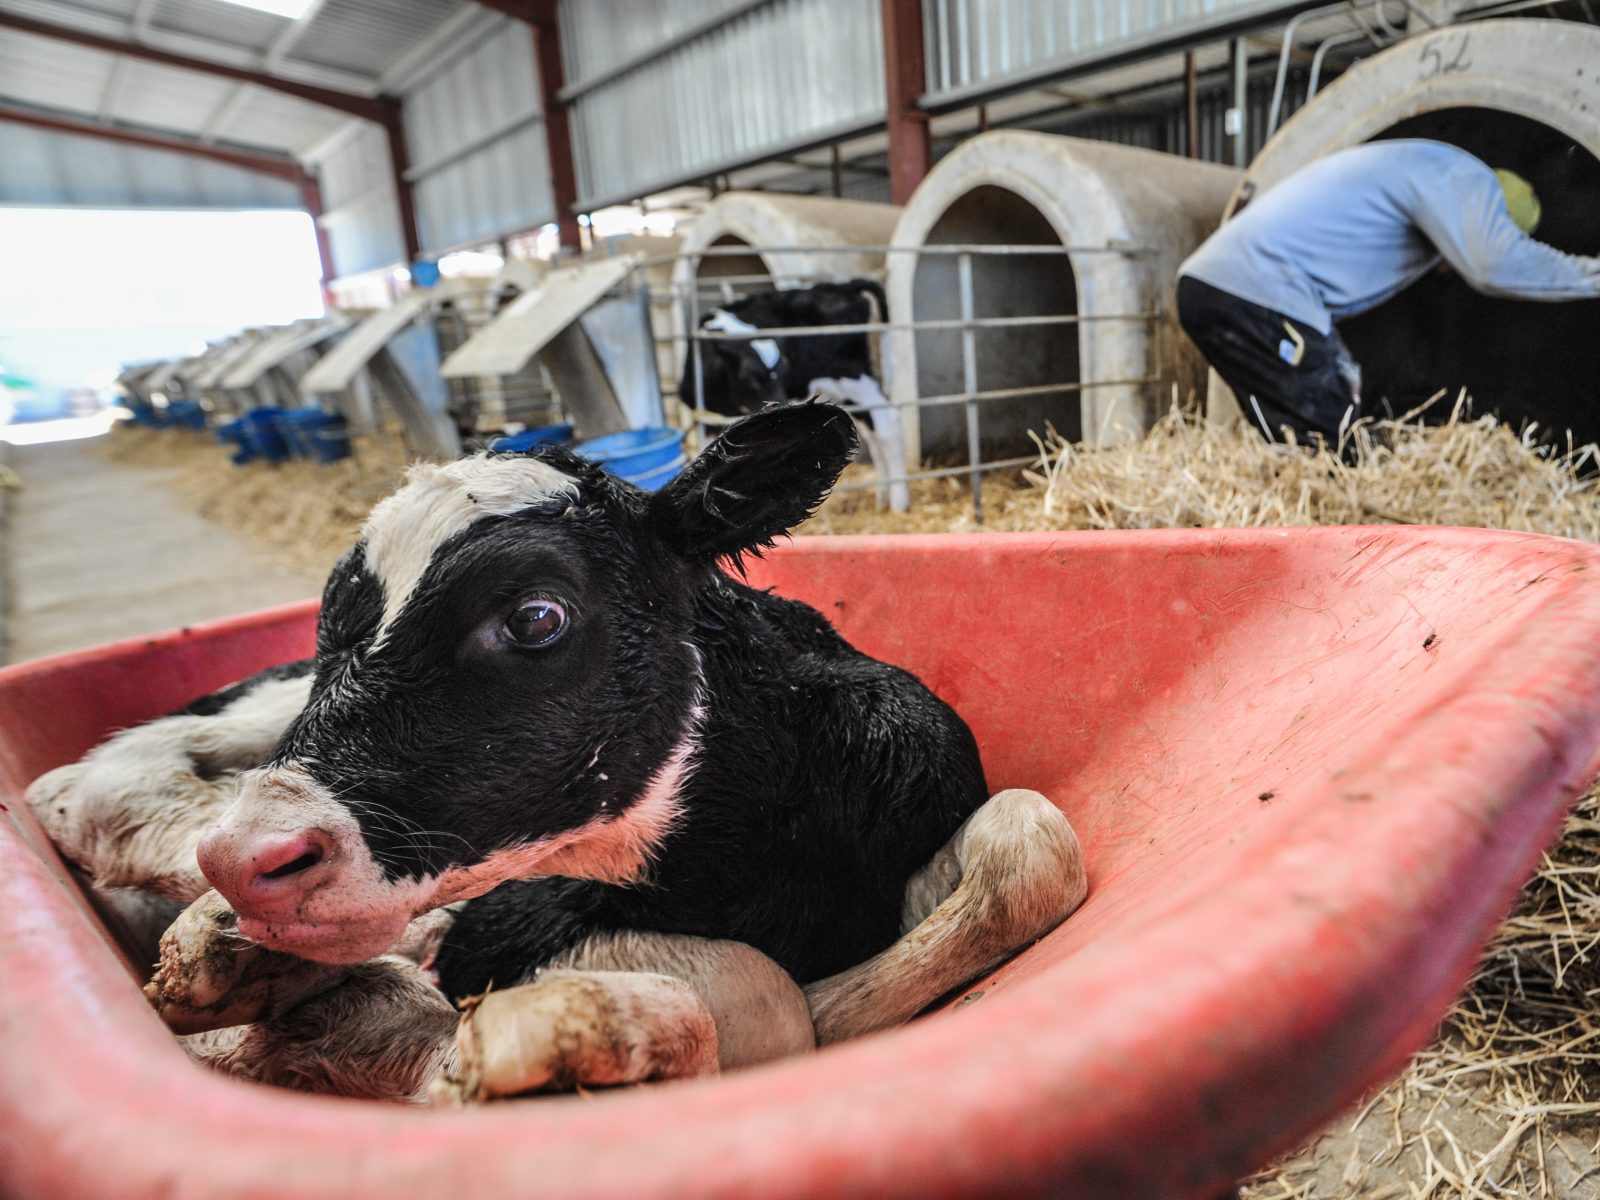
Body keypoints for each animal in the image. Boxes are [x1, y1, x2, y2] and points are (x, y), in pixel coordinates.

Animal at [30, 401, 1085, 1100]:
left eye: (536, 616)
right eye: (333, 622)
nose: (254, 859)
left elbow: (1033, 842)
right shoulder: (511, 924)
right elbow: (760, 997)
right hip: (254, 717)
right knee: (89, 786)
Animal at [680, 280, 910, 512]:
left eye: (784, 371)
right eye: (750, 377)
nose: (780, 407)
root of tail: (842, 286)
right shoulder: (706, 420)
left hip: (853, 377)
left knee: (887, 426)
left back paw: (898, 502)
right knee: (871, 432)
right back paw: (882, 497)